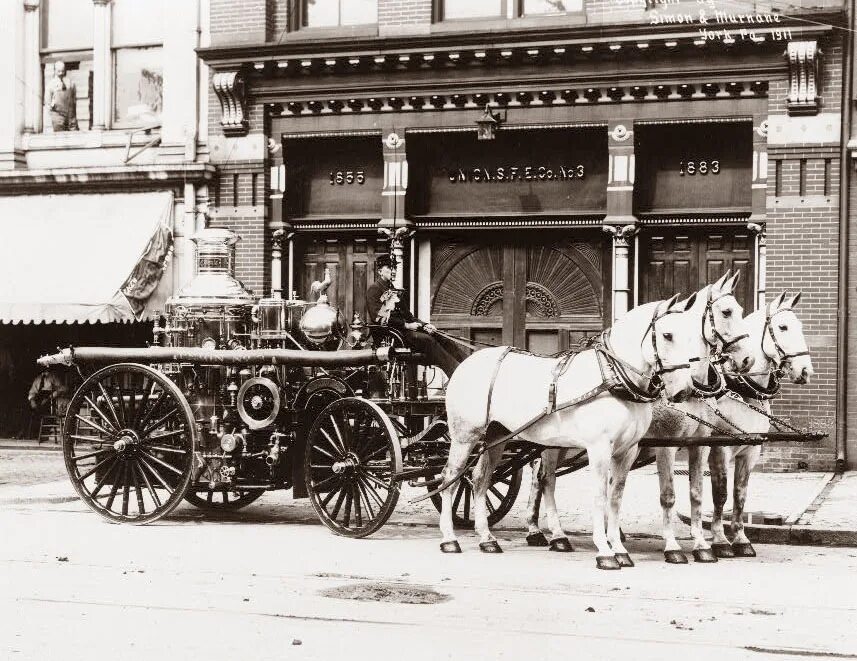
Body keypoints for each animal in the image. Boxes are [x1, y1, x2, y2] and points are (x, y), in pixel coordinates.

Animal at [438, 294, 700, 568]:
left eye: (694, 334)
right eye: (668, 335)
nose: (685, 390)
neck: (613, 377)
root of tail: (468, 362)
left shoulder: (627, 451)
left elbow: (615, 497)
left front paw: (619, 549)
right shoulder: (599, 448)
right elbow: (599, 496)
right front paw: (604, 551)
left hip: (497, 436)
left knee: (480, 479)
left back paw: (486, 539)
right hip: (464, 436)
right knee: (450, 478)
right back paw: (449, 539)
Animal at [520, 270, 756, 560]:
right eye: (726, 312)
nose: (748, 360)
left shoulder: (698, 443)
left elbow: (697, 493)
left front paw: (701, 545)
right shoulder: (666, 444)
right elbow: (667, 494)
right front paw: (673, 547)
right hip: (552, 445)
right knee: (546, 481)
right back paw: (555, 535)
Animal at [704, 292, 812, 556]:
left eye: (800, 325)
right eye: (783, 327)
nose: (806, 370)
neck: (740, 388)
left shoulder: (751, 450)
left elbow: (740, 494)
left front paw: (741, 539)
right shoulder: (719, 449)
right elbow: (720, 494)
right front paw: (720, 540)